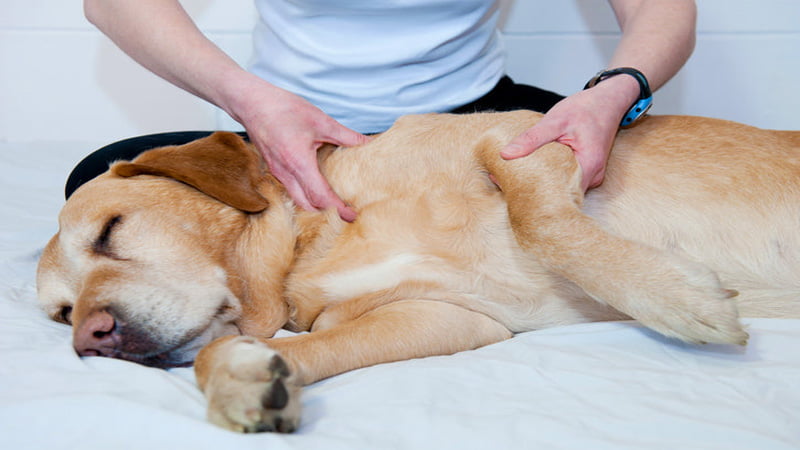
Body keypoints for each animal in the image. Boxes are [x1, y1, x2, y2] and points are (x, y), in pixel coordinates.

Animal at [37, 110, 800, 432]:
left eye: (111, 230)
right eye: (59, 314)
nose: (90, 339)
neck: (313, 246)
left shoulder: (522, 140)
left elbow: (542, 224)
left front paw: (678, 299)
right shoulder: (449, 319)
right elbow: (262, 350)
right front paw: (244, 382)